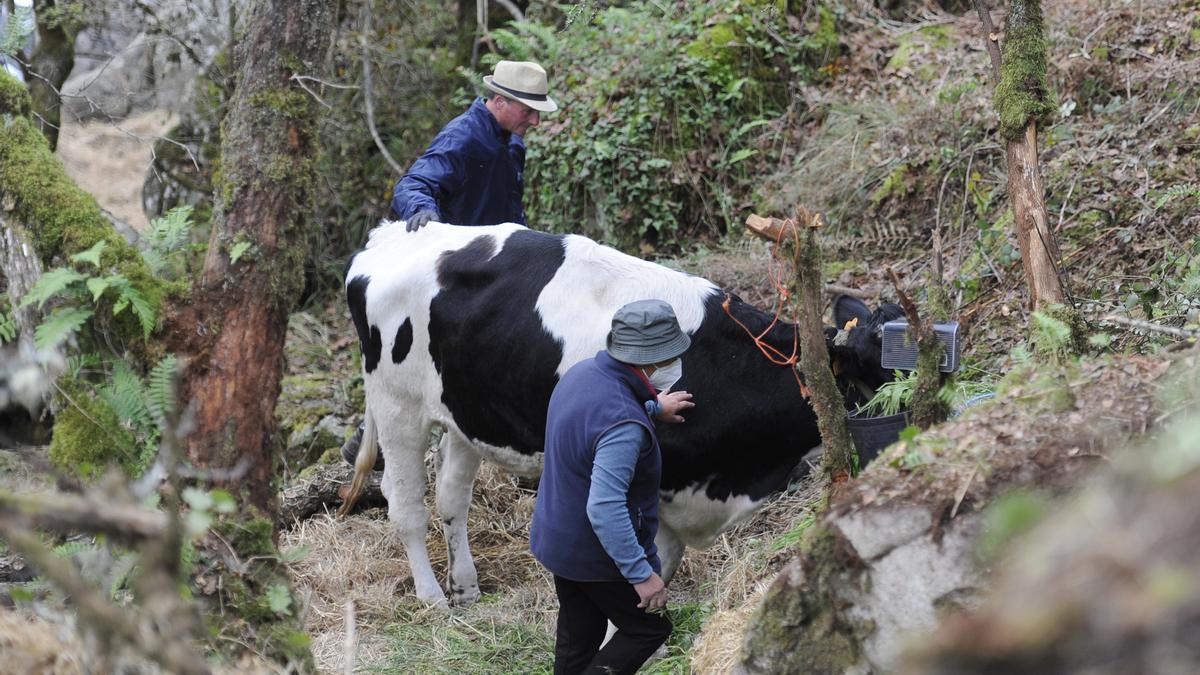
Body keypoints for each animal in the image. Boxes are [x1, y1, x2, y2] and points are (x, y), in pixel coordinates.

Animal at [343, 219, 897, 605]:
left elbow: (662, 563)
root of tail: (389, 234)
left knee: (452, 497)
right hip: (396, 407)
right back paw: (433, 597)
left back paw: (466, 587)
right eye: (880, 374)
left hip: (468, 413)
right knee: (406, 505)